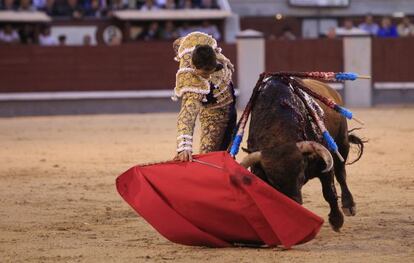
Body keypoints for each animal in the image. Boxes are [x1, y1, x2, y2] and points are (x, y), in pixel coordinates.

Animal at [241, 77, 364, 233]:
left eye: (300, 176)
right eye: (274, 182)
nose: (294, 203)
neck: (279, 135)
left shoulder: (324, 164)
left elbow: (329, 192)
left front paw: (336, 221)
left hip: (342, 143)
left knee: (341, 174)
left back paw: (349, 206)